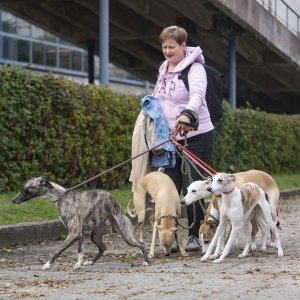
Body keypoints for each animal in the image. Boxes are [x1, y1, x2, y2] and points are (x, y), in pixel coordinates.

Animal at [12, 177, 149, 268]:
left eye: (25, 190)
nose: (13, 201)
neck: (62, 197)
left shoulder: (74, 233)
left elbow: (58, 250)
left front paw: (48, 264)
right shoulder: (80, 233)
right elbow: (80, 249)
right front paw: (79, 263)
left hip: (126, 234)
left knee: (141, 244)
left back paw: (147, 261)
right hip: (95, 235)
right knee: (103, 247)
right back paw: (91, 261)